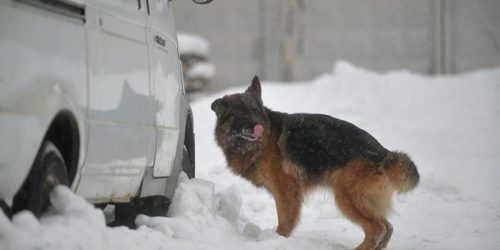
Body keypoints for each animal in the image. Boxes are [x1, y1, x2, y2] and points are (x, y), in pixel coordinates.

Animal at [210, 76, 418, 250]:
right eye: (240, 113)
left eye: (255, 110)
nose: (258, 127)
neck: (261, 143)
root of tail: (383, 153)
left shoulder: (286, 190)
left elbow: (285, 220)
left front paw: (277, 238)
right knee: (387, 227)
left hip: (346, 196)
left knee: (377, 229)